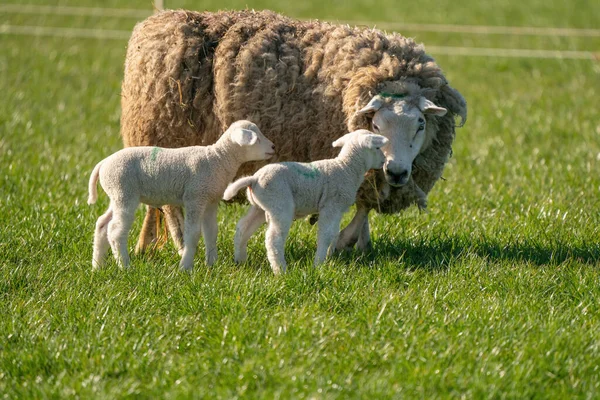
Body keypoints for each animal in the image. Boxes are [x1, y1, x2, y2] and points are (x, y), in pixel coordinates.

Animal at [88, 120, 276, 270]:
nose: (273, 147)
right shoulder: (195, 197)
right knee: (115, 231)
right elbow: (192, 234)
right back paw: (124, 266)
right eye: (257, 138)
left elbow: (211, 232)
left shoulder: (210, 201)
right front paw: (186, 266)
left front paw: (212, 264)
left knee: (102, 224)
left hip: (115, 195)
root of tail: (103, 163)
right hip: (124, 193)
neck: (218, 159)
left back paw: (97, 265)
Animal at [122, 9, 466, 255]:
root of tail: (159, 20)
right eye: (377, 125)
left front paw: (360, 243)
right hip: (163, 141)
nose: (396, 172)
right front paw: (344, 242)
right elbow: (358, 205)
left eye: (420, 125)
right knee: (170, 207)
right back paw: (182, 243)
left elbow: (365, 205)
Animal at [223, 131, 386, 276]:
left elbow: (334, 233)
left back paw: (240, 260)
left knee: (243, 227)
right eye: (377, 148)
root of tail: (254, 179)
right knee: (273, 239)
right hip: (280, 204)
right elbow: (325, 235)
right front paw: (318, 264)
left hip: (260, 208)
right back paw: (281, 271)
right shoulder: (330, 206)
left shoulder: (337, 210)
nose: (384, 161)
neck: (347, 168)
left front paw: (330, 258)